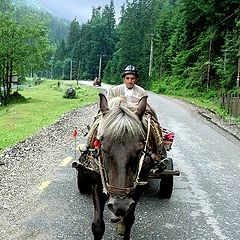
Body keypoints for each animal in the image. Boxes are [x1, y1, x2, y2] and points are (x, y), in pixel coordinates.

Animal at [73, 93, 160, 240]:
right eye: (103, 149)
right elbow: (97, 225)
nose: (120, 205)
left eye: (139, 150)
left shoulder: (138, 185)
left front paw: (123, 223)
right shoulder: (97, 182)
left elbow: (129, 218)